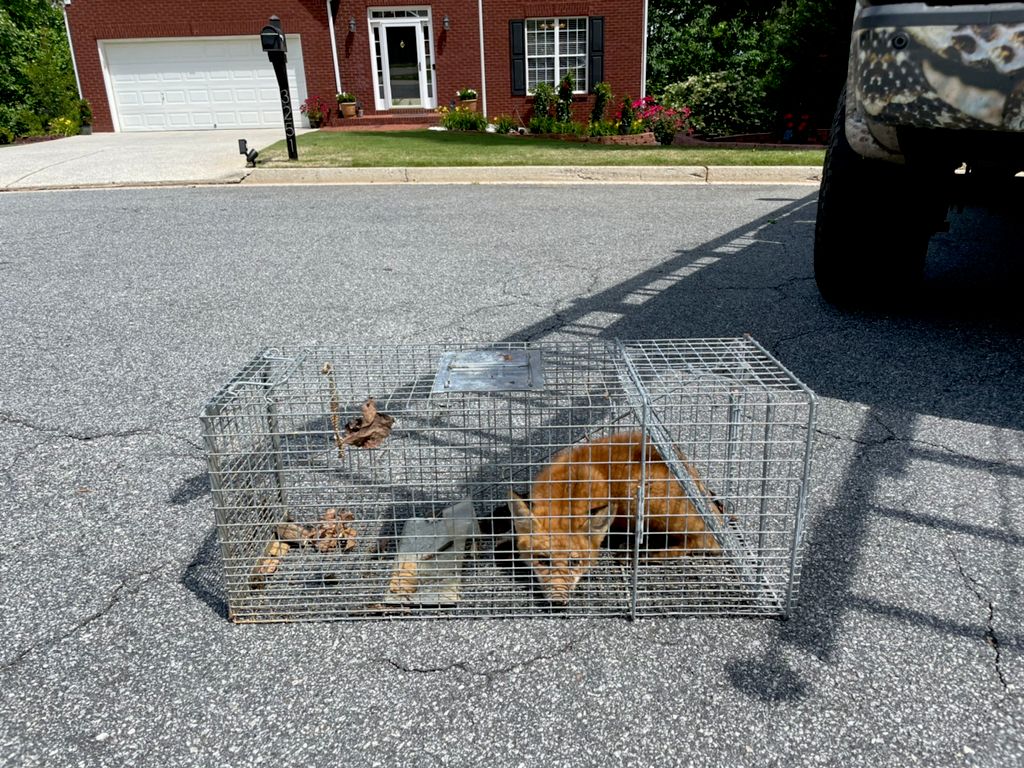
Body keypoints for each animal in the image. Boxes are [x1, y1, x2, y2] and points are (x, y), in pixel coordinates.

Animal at [509, 430, 720, 606]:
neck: (568, 487)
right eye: (543, 560)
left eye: (574, 563)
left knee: (693, 543)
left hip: (639, 494)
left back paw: (643, 553)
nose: (558, 601)